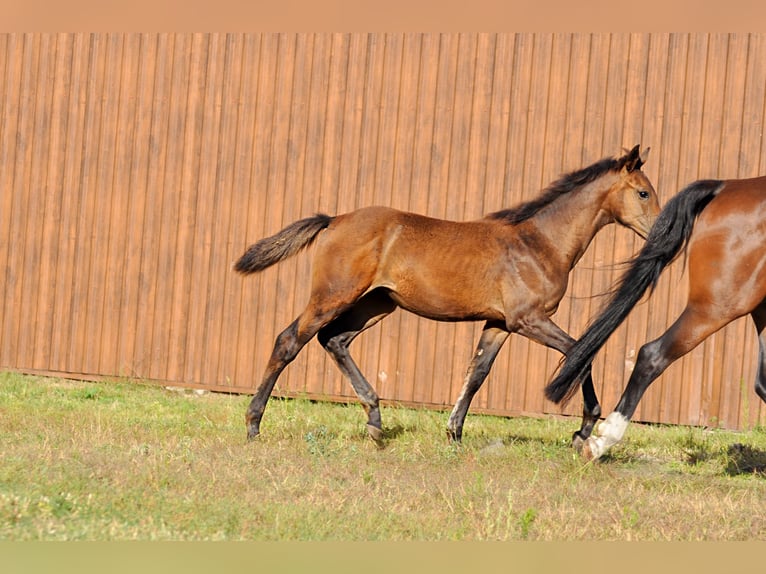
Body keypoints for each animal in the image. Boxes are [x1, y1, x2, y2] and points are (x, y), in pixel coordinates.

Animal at [236, 145, 660, 446]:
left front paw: (454, 432)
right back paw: (254, 424)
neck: (539, 242)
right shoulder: (529, 319)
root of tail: (334, 220)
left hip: (375, 303)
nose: (659, 232)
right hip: (334, 295)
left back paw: (375, 421)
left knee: (334, 340)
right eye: (643, 192)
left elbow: (477, 373)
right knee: (290, 340)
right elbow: (579, 354)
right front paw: (584, 429)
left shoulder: (499, 323)